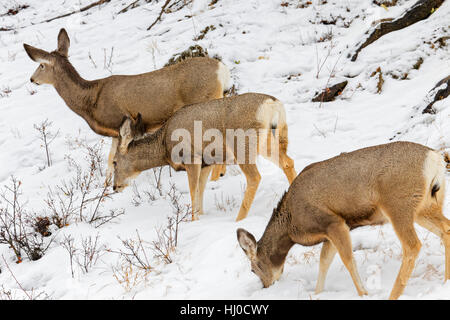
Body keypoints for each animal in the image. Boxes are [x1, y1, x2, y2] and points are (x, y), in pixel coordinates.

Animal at [22, 28, 229, 180]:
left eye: (41, 65)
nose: (32, 79)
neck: (90, 100)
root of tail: (222, 70)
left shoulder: (123, 121)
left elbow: (116, 156)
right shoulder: (116, 130)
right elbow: (110, 158)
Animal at [111, 92, 298, 221]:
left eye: (114, 162)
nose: (114, 187)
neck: (164, 144)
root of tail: (273, 104)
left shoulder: (191, 158)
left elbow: (193, 192)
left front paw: (193, 220)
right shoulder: (207, 162)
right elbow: (200, 190)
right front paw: (201, 215)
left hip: (241, 144)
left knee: (254, 177)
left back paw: (238, 219)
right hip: (270, 141)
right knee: (288, 162)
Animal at [237, 142, 448, 300]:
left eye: (253, 269)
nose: (266, 287)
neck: (291, 224)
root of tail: (435, 159)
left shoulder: (333, 222)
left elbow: (347, 260)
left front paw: (364, 293)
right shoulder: (330, 232)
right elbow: (324, 262)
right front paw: (317, 293)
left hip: (398, 204)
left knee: (412, 245)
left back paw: (393, 295)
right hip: (427, 206)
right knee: (446, 229)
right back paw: (446, 281)